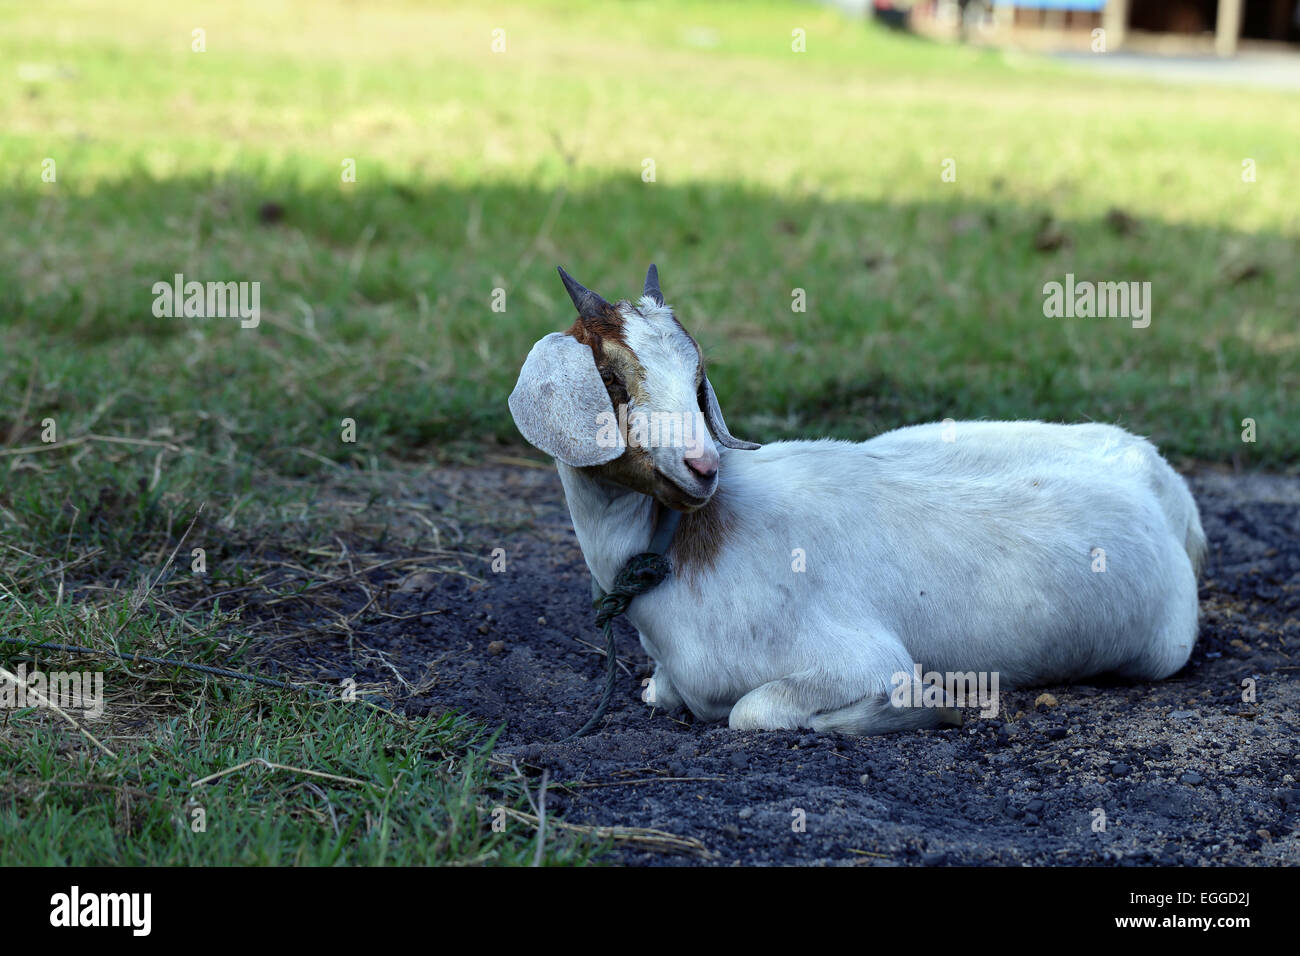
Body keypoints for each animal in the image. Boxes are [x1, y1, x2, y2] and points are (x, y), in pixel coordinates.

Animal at [509, 264, 1207, 735]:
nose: (702, 466)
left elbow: (750, 711)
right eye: (609, 377)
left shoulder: (860, 660)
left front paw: (925, 707)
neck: (680, 548)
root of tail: (1157, 477)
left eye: (698, 377)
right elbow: (661, 694)